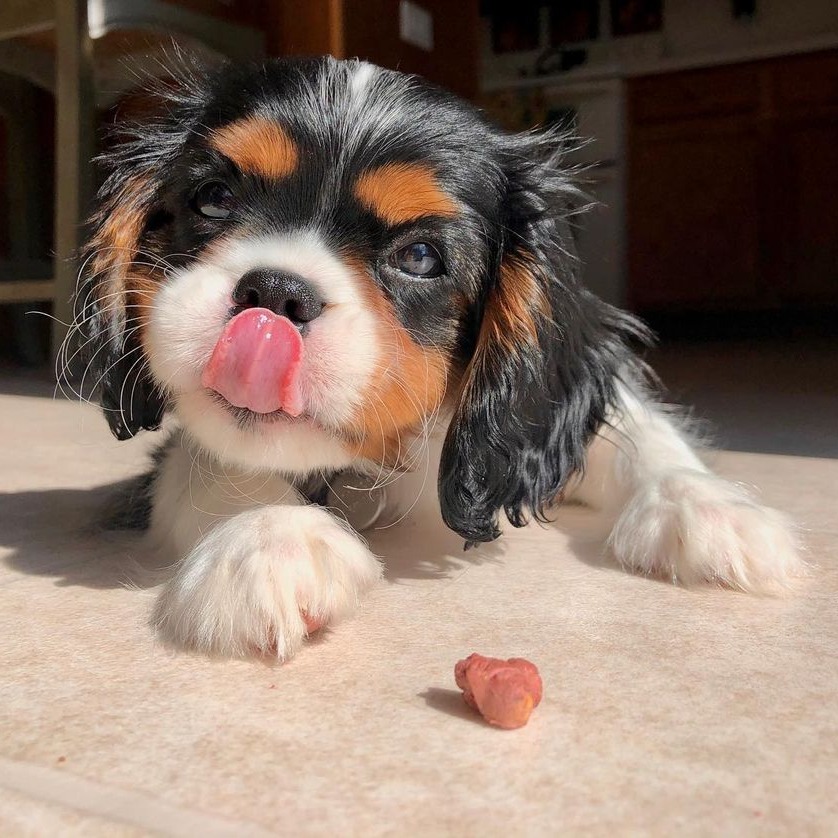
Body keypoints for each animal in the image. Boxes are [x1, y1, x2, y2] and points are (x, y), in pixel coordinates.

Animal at [75, 55, 804, 664]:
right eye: (214, 198)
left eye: (421, 257)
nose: (276, 293)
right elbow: (211, 461)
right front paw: (268, 536)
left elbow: (640, 435)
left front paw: (709, 509)